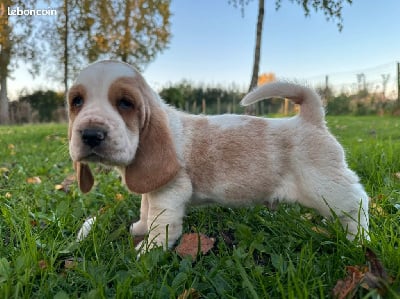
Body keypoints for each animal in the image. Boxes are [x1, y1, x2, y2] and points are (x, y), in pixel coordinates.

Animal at [68, 59, 368, 252]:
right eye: (76, 101)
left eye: (125, 103)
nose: (91, 134)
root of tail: (311, 119)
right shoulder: (152, 190)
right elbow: (145, 209)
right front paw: (139, 228)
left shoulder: (169, 194)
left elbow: (160, 225)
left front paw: (146, 254)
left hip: (327, 189)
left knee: (359, 203)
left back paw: (358, 240)